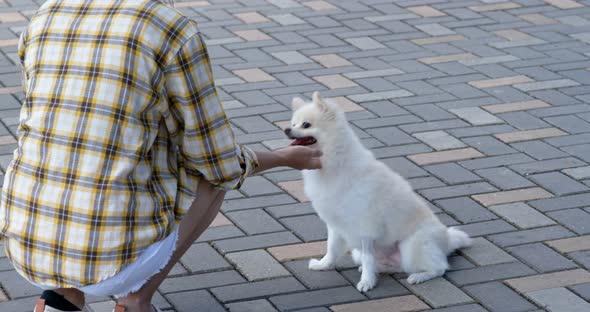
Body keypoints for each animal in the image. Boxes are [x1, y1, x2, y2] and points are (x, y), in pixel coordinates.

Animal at [284, 91, 474, 292]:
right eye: (293, 124)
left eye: (306, 125)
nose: (286, 130)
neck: (333, 164)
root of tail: (447, 241)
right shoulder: (335, 223)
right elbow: (332, 248)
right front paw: (324, 265)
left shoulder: (365, 227)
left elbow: (368, 257)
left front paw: (367, 282)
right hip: (360, 253)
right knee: (394, 265)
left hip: (411, 246)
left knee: (440, 267)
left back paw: (418, 276)